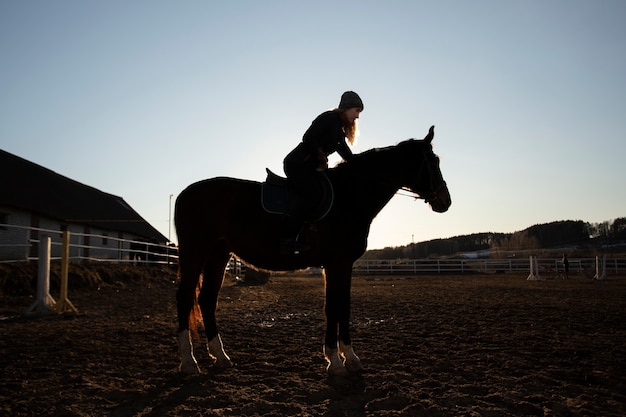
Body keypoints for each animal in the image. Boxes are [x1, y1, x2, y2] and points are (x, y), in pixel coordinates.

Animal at [173, 125, 450, 376]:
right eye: (433, 161)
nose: (445, 201)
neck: (349, 195)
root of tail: (185, 193)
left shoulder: (343, 264)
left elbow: (343, 306)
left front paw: (349, 358)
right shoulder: (337, 263)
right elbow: (333, 308)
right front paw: (336, 362)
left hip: (218, 254)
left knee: (207, 299)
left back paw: (220, 356)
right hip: (195, 252)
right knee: (185, 298)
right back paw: (188, 362)